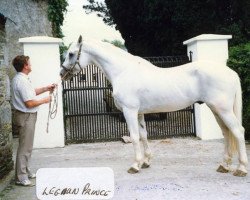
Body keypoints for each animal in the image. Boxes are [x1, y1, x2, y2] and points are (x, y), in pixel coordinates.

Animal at [60, 35, 248, 177]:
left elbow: (135, 136)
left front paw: (135, 165)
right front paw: (146, 161)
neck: (123, 71)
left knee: (238, 131)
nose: (62, 74)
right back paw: (224, 165)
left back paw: (241, 168)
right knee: (227, 133)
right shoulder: (139, 113)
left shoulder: (129, 111)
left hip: (223, 110)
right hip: (216, 110)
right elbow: (144, 135)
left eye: (71, 54)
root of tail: (231, 72)